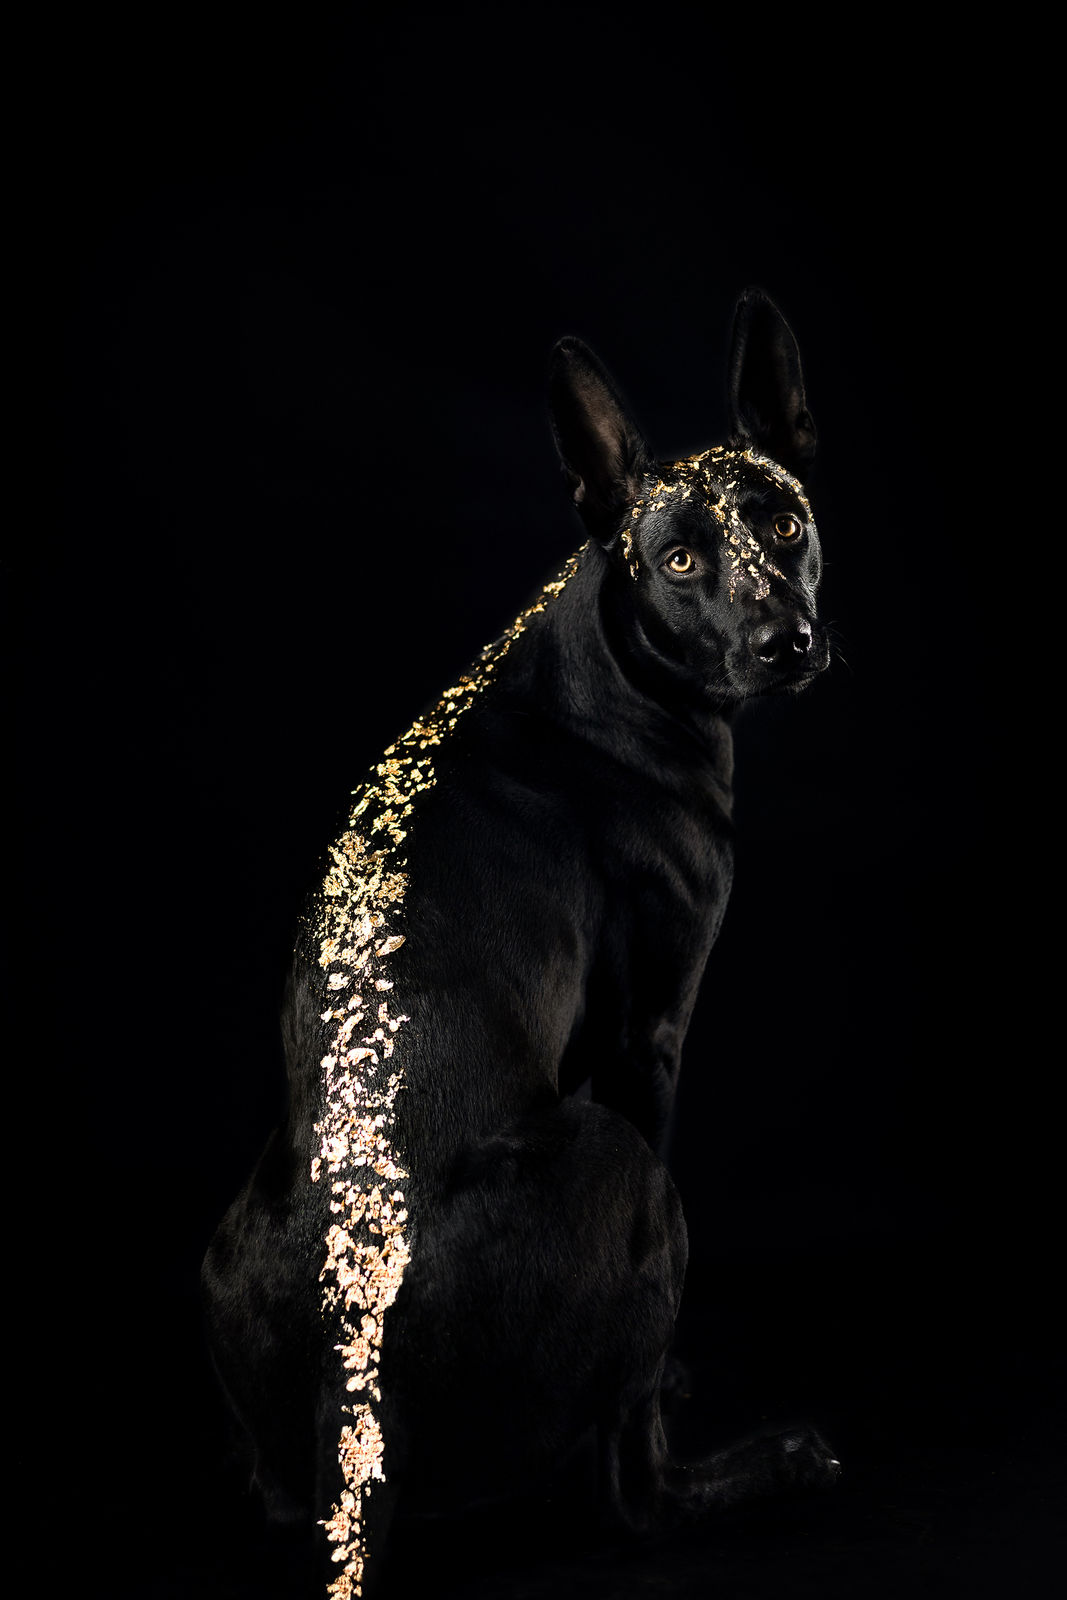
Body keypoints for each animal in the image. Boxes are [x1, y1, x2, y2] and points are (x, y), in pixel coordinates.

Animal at [202, 287, 840, 1598]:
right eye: (680, 560)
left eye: (785, 522)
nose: (784, 641)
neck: (603, 649)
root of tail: (358, 1421)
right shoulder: (649, 1035)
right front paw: (673, 1386)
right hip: (623, 1162)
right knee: (631, 1499)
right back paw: (764, 1462)